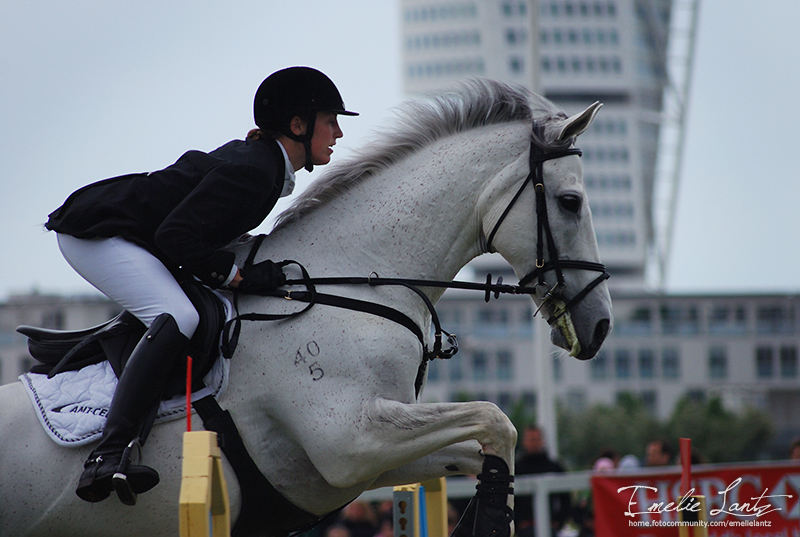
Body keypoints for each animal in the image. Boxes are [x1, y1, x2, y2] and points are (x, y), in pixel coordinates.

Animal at [0, 79, 612, 536]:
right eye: (570, 202)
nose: (602, 326)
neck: (355, 283)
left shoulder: (351, 466)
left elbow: (481, 447)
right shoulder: (350, 439)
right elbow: (495, 419)